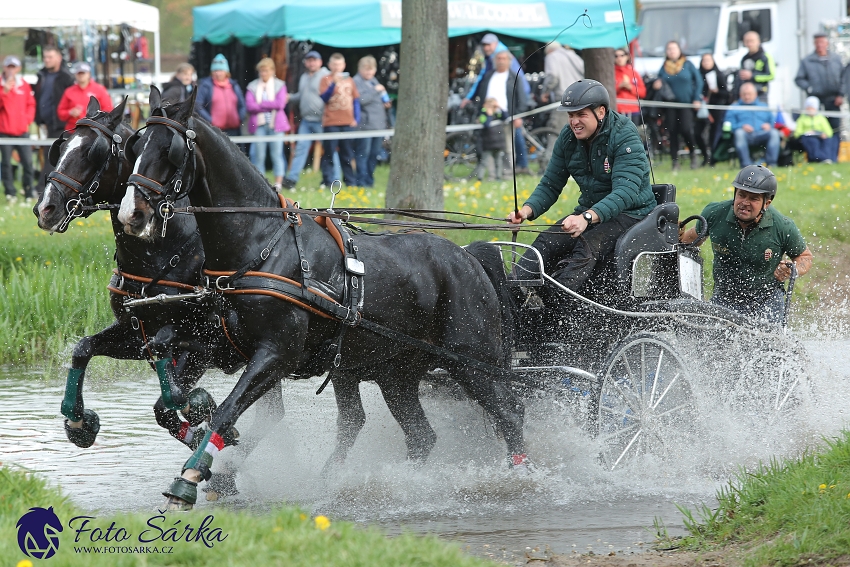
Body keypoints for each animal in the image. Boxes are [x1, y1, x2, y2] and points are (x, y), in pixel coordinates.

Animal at [34, 100, 284, 500]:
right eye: (62, 145)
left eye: (94, 152)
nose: (45, 208)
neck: (162, 253)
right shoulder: (136, 334)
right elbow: (85, 348)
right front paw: (79, 422)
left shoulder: (202, 343)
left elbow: (170, 398)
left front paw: (203, 419)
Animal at [114, 87, 524, 510]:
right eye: (135, 147)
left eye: (170, 151)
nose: (131, 214)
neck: (261, 244)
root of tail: (469, 257)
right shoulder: (216, 340)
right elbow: (170, 389)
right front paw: (197, 415)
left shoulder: (276, 354)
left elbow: (226, 412)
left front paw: (189, 479)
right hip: (397, 373)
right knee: (420, 434)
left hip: (472, 361)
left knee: (509, 414)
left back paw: (520, 479)